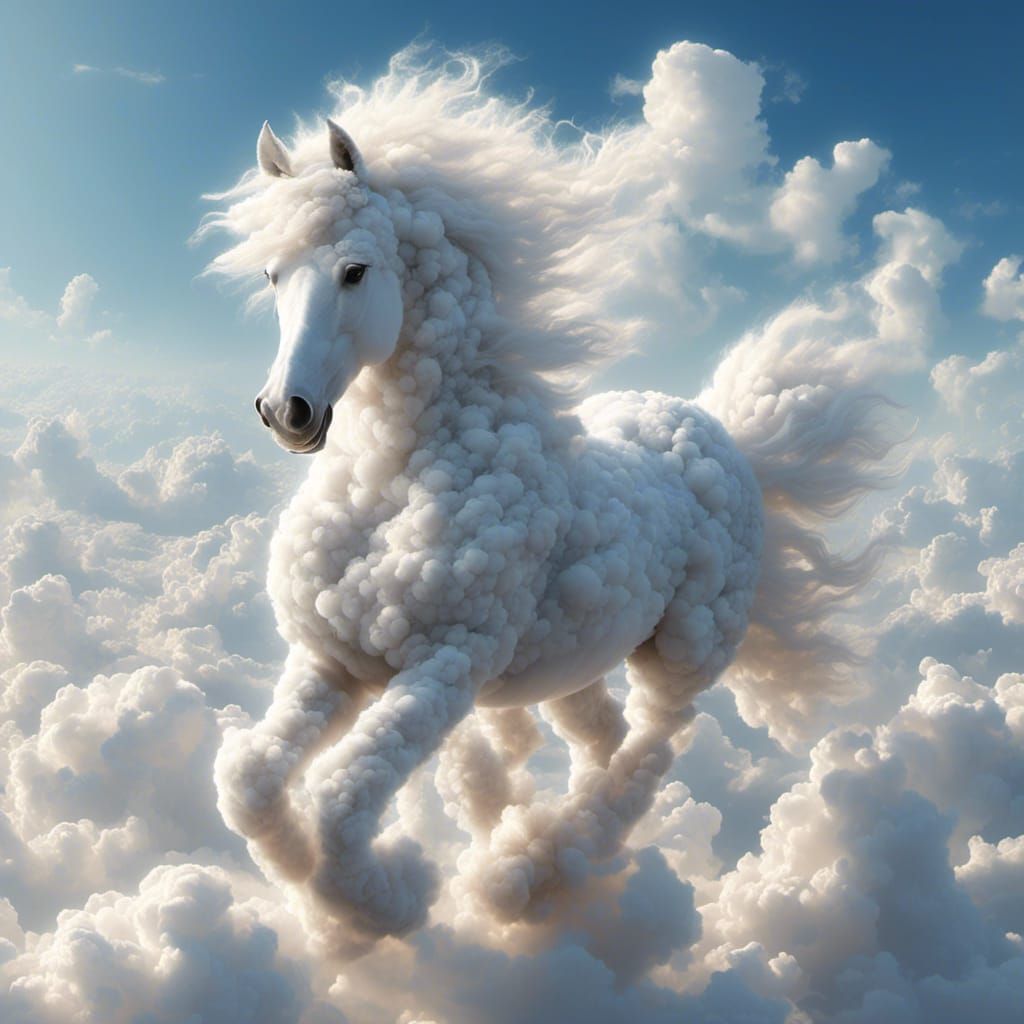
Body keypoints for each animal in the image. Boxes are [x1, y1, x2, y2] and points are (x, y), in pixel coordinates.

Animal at [204, 56, 894, 952]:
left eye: (355, 270)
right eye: (272, 276)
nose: (286, 412)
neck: (398, 477)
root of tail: (731, 436)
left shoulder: (445, 668)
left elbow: (341, 798)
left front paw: (389, 897)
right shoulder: (332, 659)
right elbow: (250, 778)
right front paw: (317, 896)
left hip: (685, 650)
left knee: (651, 749)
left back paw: (530, 872)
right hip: (573, 661)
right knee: (604, 738)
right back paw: (527, 843)